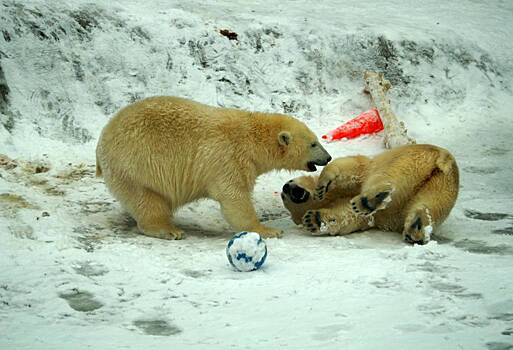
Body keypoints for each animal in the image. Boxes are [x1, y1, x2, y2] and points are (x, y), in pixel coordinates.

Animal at [96, 95, 332, 239]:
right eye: (313, 144)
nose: (328, 157)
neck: (252, 138)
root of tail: (101, 142)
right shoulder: (228, 158)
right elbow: (234, 197)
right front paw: (268, 230)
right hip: (135, 167)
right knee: (146, 199)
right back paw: (168, 230)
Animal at [282, 144, 458, 245]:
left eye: (286, 191)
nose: (288, 188)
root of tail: (443, 157)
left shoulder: (362, 170)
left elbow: (352, 168)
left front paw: (324, 181)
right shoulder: (371, 215)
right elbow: (347, 215)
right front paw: (313, 220)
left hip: (409, 159)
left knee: (386, 174)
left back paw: (371, 199)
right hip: (443, 184)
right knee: (432, 203)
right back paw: (416, 228)